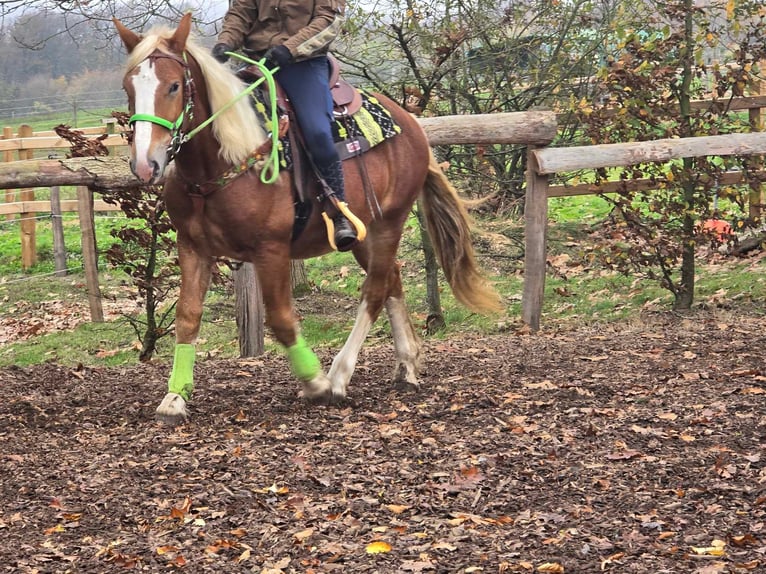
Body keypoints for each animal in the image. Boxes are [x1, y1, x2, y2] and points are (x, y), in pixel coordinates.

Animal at [111, 14, 500, 428]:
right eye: (128, 87)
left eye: (172, 86)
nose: (145, 164)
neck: (225, 160)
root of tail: (412, 126)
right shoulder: (193, 246)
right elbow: (188, 316)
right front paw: (175, 396)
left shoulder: (271, 250)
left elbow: (282, 319)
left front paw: (315, 382)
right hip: (362, 233)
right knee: (392, 279)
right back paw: (407, 365)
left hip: (389, 223)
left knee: (375, 290)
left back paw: (340, 375)